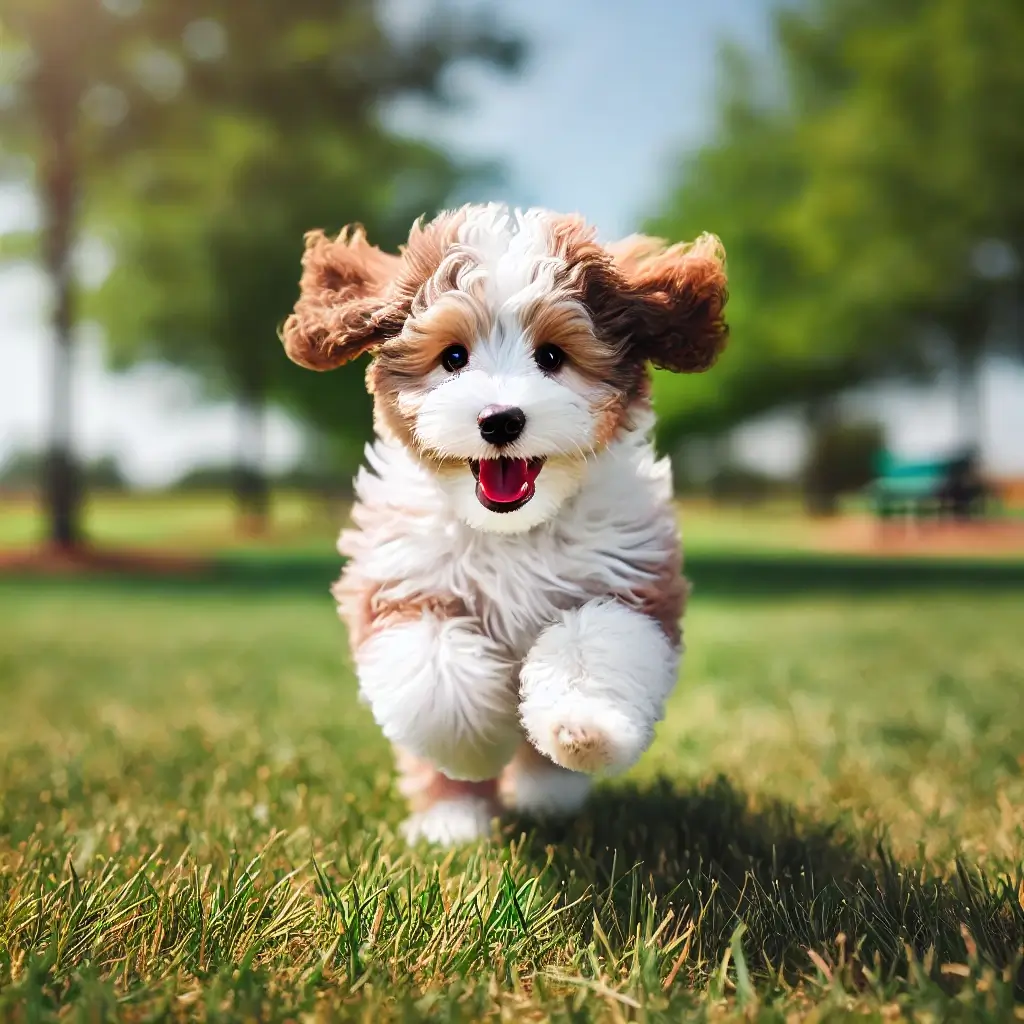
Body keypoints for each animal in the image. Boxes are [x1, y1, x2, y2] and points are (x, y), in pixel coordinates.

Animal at [282, 203, 729, 843]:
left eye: (552, 357)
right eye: (453, 357)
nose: (500, 420)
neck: (511, 532)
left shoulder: (626, 580)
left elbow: (591, 645)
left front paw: (581, 729)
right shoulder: (406, 585)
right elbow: (439, 675)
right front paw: (475, 749)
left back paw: (548, 796)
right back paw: (453, 822)